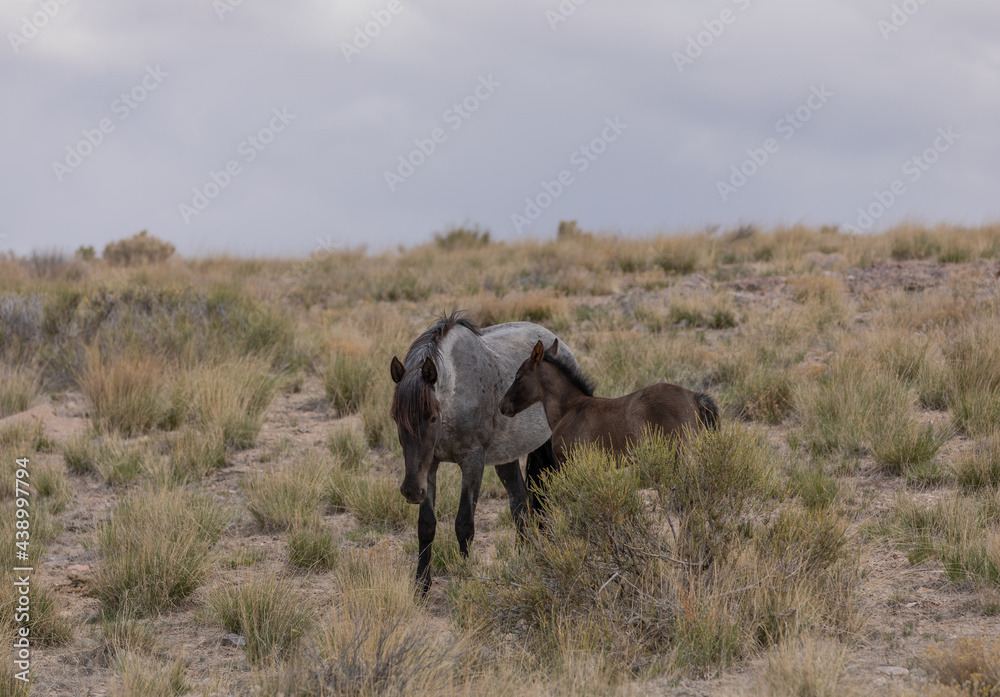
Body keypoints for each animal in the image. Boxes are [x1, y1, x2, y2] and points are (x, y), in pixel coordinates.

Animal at [390, 312, 581, 594]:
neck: (457, 391)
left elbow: (464, 524)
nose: (411, 491)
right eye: (396, 418)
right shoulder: (429, 465)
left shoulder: (472, 462)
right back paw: (524, 560)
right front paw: (421, 587)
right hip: (507, 459)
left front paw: (465, 580)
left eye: (432, 417)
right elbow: (426, 525)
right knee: (520, 506)